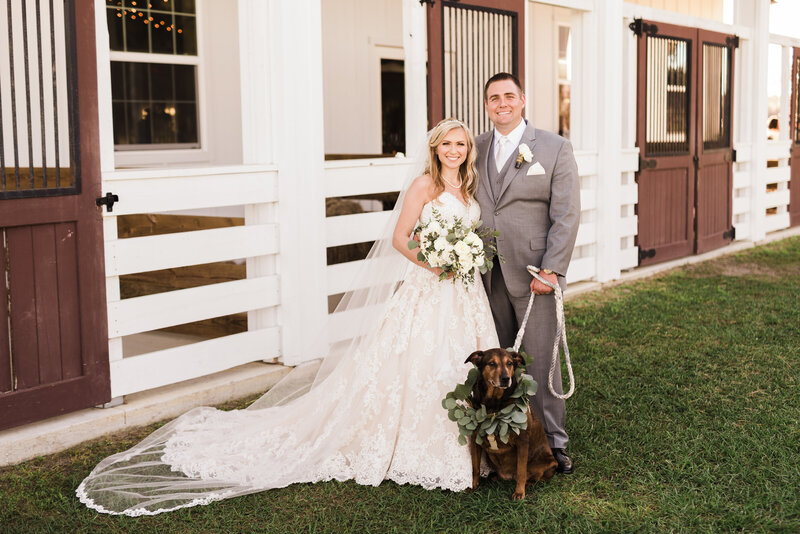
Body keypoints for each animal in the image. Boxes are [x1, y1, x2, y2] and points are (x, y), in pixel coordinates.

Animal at [462, 350, 556, 500]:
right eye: (492, 363)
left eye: (510, 363)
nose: (506, 379)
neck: (494, 404)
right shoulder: (475, 439)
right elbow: (475, 468)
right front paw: (473, 486)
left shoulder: (522, 441)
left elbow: (521, 470)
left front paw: (519, 493)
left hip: (549, 463)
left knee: (536, 476)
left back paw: (528, 483)